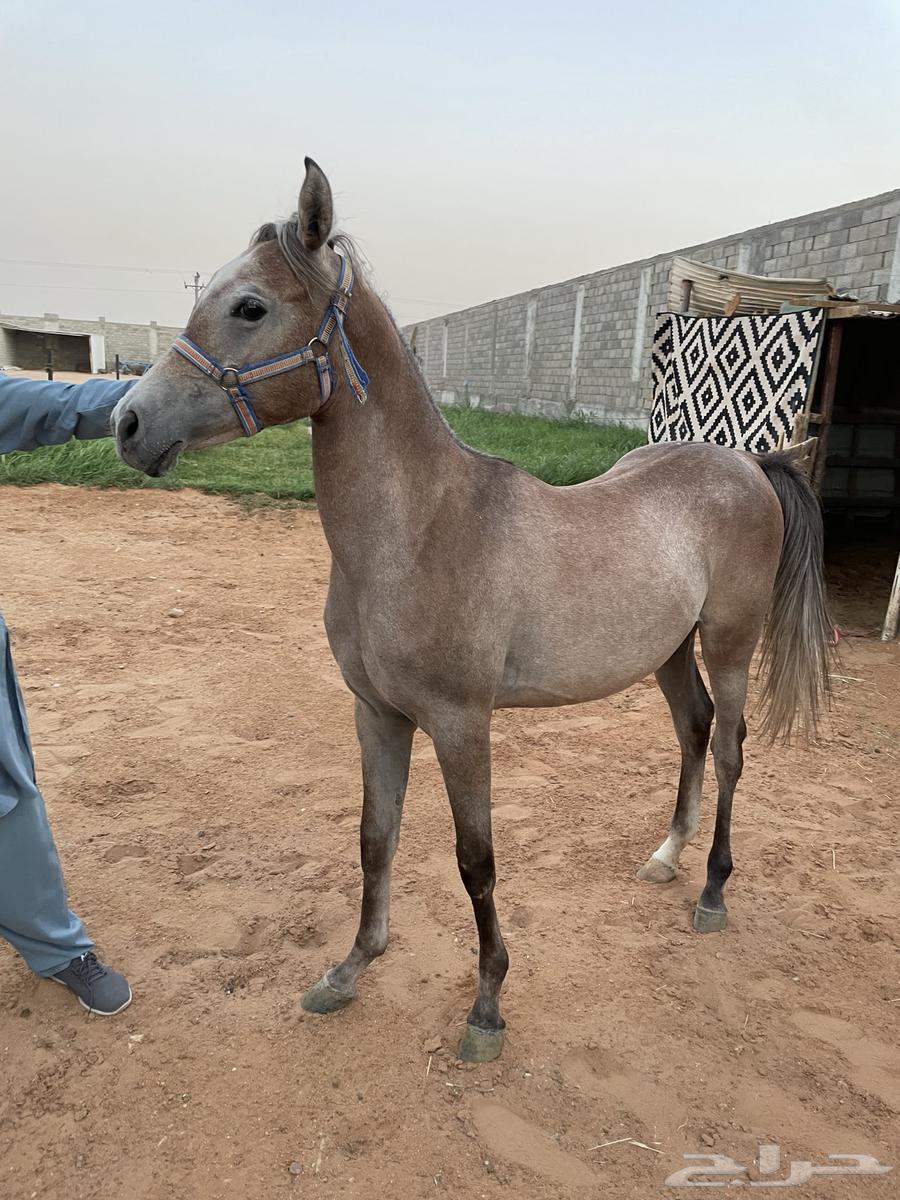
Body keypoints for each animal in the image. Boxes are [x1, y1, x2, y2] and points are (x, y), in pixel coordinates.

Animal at [113, 159, 833, 1062]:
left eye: (251, 306)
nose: (127, 424)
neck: (418, 529)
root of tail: (751, 465)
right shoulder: (377, 714)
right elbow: (374, 838)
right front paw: (351, 967)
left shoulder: (461, 723)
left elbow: (475, 861)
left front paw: (487, 1004)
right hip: (668, 651)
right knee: (694, 731)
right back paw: (667, 856)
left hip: (731, 643)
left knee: (732, 751)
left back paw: (711, 892)